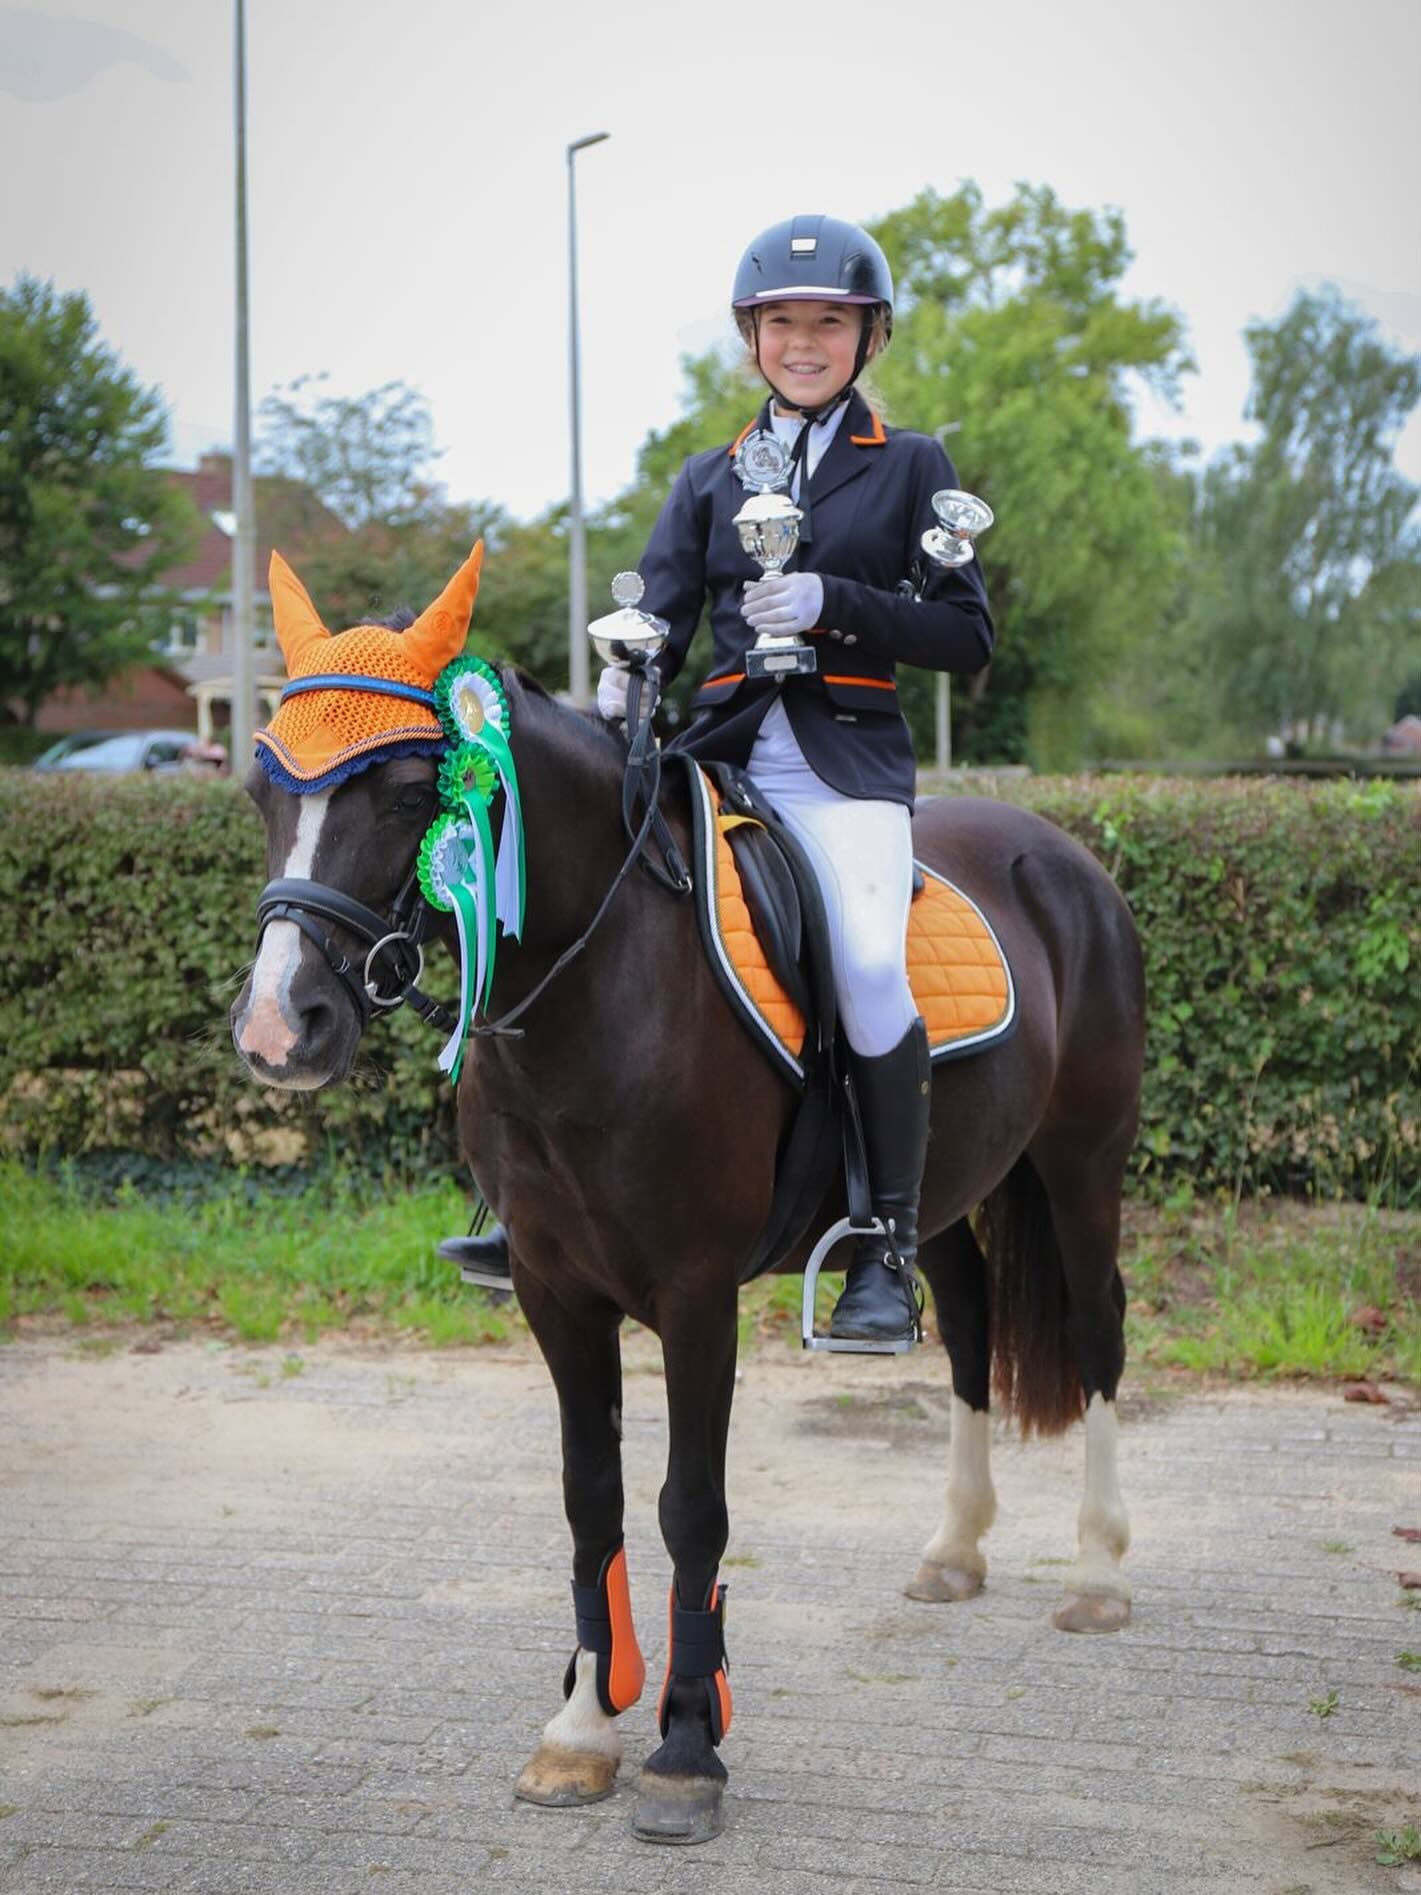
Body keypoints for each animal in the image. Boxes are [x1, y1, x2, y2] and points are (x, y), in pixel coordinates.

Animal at [231, 607, 1145, 1846]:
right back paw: (953, 1545)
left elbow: (689, 1507)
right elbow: (590, 1496)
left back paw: (1096, 1573)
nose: (281, 1028)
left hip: (1081, 1163)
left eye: (412, 787)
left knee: (1096, 1331)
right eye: (259, 790)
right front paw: (579, 1726)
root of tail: (1057, 852)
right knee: (963, 1324)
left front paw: (682, 1745)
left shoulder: (696, 1292)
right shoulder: (554, 1289)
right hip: (948, 1190)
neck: (598, 978)